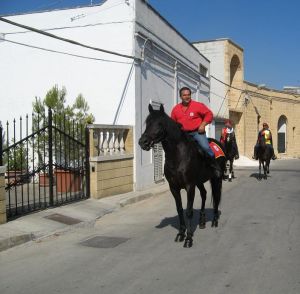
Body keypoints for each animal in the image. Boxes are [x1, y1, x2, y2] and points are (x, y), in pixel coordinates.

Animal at [138, 105, 225, 248]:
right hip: (199, 182)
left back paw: (214, 220)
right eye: (147, 123)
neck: (178, 156)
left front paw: (188, 238)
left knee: (216, 197)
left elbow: (188, 211)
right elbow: (179, 210)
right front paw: (180, 234)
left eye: (160, 123)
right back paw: (202, 222)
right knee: (204, 194)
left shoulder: (189, 186)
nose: (143, 142)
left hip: (216, 179)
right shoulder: (174, 187)